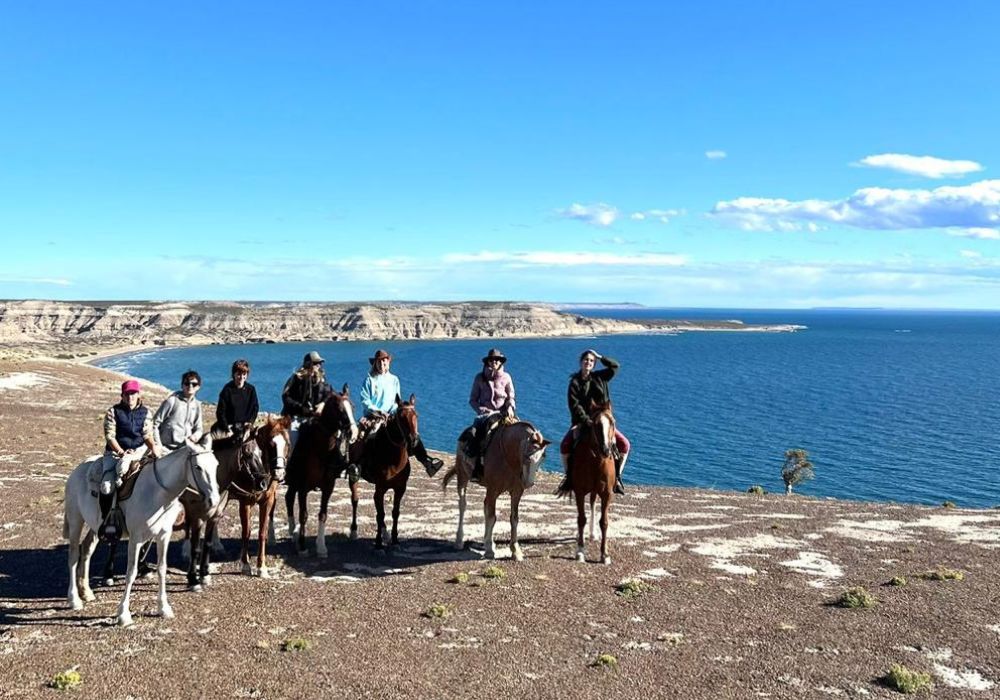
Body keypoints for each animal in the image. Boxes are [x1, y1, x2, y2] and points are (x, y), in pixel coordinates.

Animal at [63, 438, 220, 628]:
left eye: (216, 465)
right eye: (197, 467)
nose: (214, 501)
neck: (157, 492)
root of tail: (77, 471)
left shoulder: (163, 535)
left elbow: (162, 568)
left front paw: (164, 608)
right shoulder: (136, 538)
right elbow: (131, 573)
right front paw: (123, 615)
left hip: (95, 527)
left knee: (86, 550)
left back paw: (86, 592)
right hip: (75, 520)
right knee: (73, 556)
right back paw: (74, 600)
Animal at [284, 386, 358, 556]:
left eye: (353, 407)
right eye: (340, 409)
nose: (353, 432)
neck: (320, 449)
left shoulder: (328, 487)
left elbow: (323, 514)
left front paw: (321, 546)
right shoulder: (303, 487)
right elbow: (303, 515)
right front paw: (303, 546)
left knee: (289, 497)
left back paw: (293, 532)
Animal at [348, 394, 418, 548]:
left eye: (416, 415)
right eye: (402, 417)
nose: (414, 440)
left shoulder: (400, 488)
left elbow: (395, 512)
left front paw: (395, 539)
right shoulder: (380, 488)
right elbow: (380, 514)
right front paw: (379, 543)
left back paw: (385, 533)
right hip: (353, 476)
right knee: (355, 500)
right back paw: (354, 531)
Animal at [442, 418, 552, 560]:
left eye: (543, 458)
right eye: (527, 457)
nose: (529, 483)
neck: (508, 456)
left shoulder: (516, 492)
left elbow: (514, 518)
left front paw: (515, 551)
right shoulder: (493, 489)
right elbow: (492, 517)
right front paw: (489, 550)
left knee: (485, 505)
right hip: (462, 476)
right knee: (463, 505)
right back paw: (459, 540)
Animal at [556, 402, 616, 568]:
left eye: (612, 423)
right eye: (595, 424)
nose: (606, 450)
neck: (596, 460)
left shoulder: (607, 493)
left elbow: (604, 522)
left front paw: (605, 554)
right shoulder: (580, 491)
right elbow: (581, 519)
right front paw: (580, 551)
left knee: (593, 503)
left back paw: (592, 534)